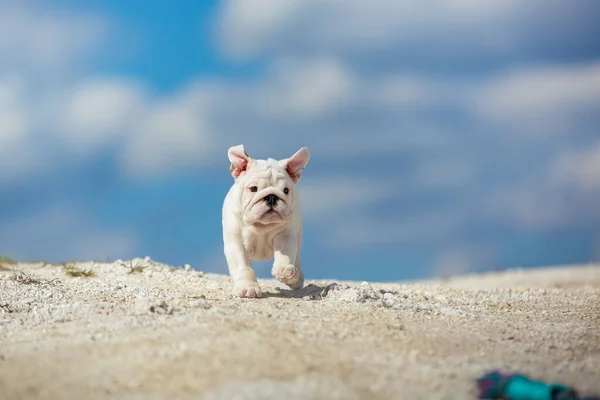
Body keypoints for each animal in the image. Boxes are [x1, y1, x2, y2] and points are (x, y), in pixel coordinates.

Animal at [223, 144, 312, 296]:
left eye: (286, 190)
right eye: (253, 188)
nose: (271, 197)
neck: (261, 225)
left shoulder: (285, 235)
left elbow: (285, 253)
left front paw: (284, 270)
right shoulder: (237, 242)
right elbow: (243, 266)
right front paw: (247, 286)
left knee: (297, 256)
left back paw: (296, 278)